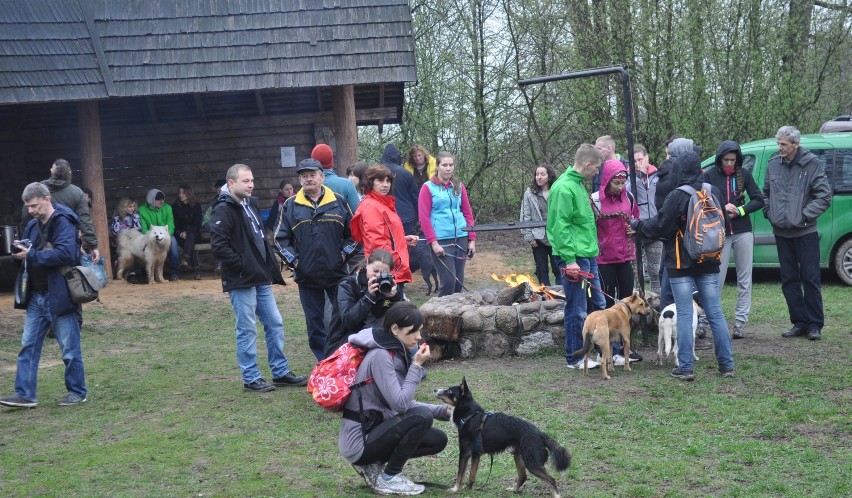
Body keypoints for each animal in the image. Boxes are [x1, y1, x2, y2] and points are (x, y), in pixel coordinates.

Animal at [436, 380, 568, 496]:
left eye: (449, 390)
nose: (435, 390)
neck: (470, 415)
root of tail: (540, 433)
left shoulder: (465, 452)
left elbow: (461, 473)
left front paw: (455, 489)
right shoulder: (476, 454)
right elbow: (472, 475)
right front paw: (468, 488)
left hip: (532, 463)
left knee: (551, 479)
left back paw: (557, 495)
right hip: (518, 456)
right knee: (523, 477)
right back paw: (514, 490)